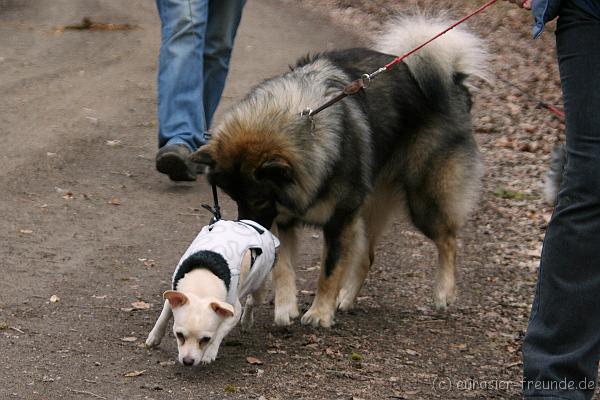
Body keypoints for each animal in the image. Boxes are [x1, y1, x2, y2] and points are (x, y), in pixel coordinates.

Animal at [145, 219, 278, 366]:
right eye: (179, 335)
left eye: (206, 339)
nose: (188, 361)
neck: (201, 284)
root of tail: (254, 224)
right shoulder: (174, 295)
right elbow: (163, 317)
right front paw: (154, 337)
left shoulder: (234, 312)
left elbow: (219, 332)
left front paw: (209, 353)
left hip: (260, 286)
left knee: (250, 302)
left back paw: (247, 321)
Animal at [192, 17, 488, 326]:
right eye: (234, 198)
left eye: (258, 199)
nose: (252, 231)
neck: (304, 121)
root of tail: (455, 81)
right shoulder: (284, 219)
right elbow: (283, 266)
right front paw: (286, 308)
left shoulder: (339, 220)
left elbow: (329, 270)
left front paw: (320, 312)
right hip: (370, 207)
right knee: (368, 256)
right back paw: (346, 298)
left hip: (423, 199)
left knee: (449, 239)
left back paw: (444, 291)